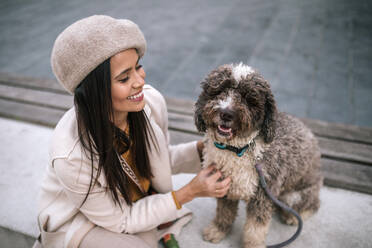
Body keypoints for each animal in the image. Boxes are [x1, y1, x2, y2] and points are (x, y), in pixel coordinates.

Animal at [195, 63, 322, 247]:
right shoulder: (225, 186)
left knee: (313, 204)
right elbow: (224, 212)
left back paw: (293, 216)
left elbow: (255, 229)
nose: (226, 114)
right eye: (219, 90)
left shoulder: (263, 195)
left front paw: (253, 244)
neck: (238, 149)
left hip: (295, 194)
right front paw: (218, 230)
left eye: (249, 99)